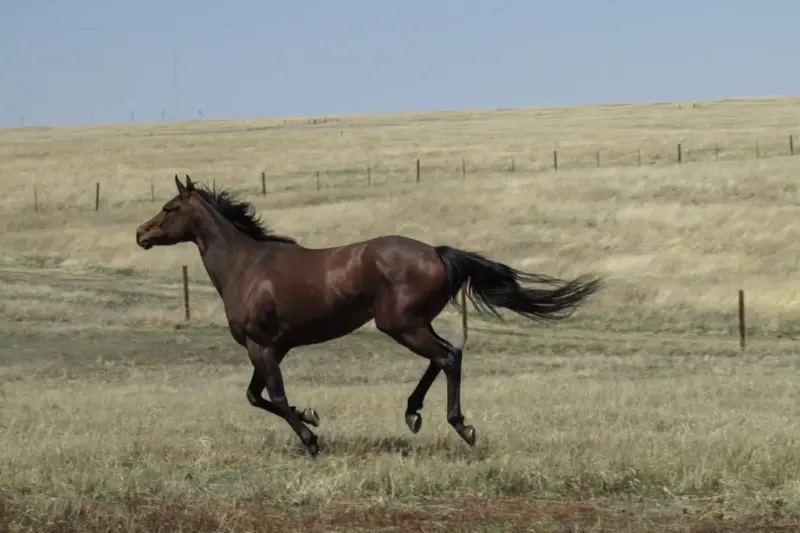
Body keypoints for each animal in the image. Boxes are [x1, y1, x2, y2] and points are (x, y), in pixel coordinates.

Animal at [135, 175, 602, 456]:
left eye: (170, 207)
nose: (140, 233)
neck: (246, 267)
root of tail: (437, 253)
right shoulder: (272, 348)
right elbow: (256, 396)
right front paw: (312, 415)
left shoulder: (262, 346)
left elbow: (276, 398)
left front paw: (312, 439)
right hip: (412, 323)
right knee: (445, 355)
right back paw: (413, 412)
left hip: (401, 326)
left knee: (448, 357)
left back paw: (460, 426)